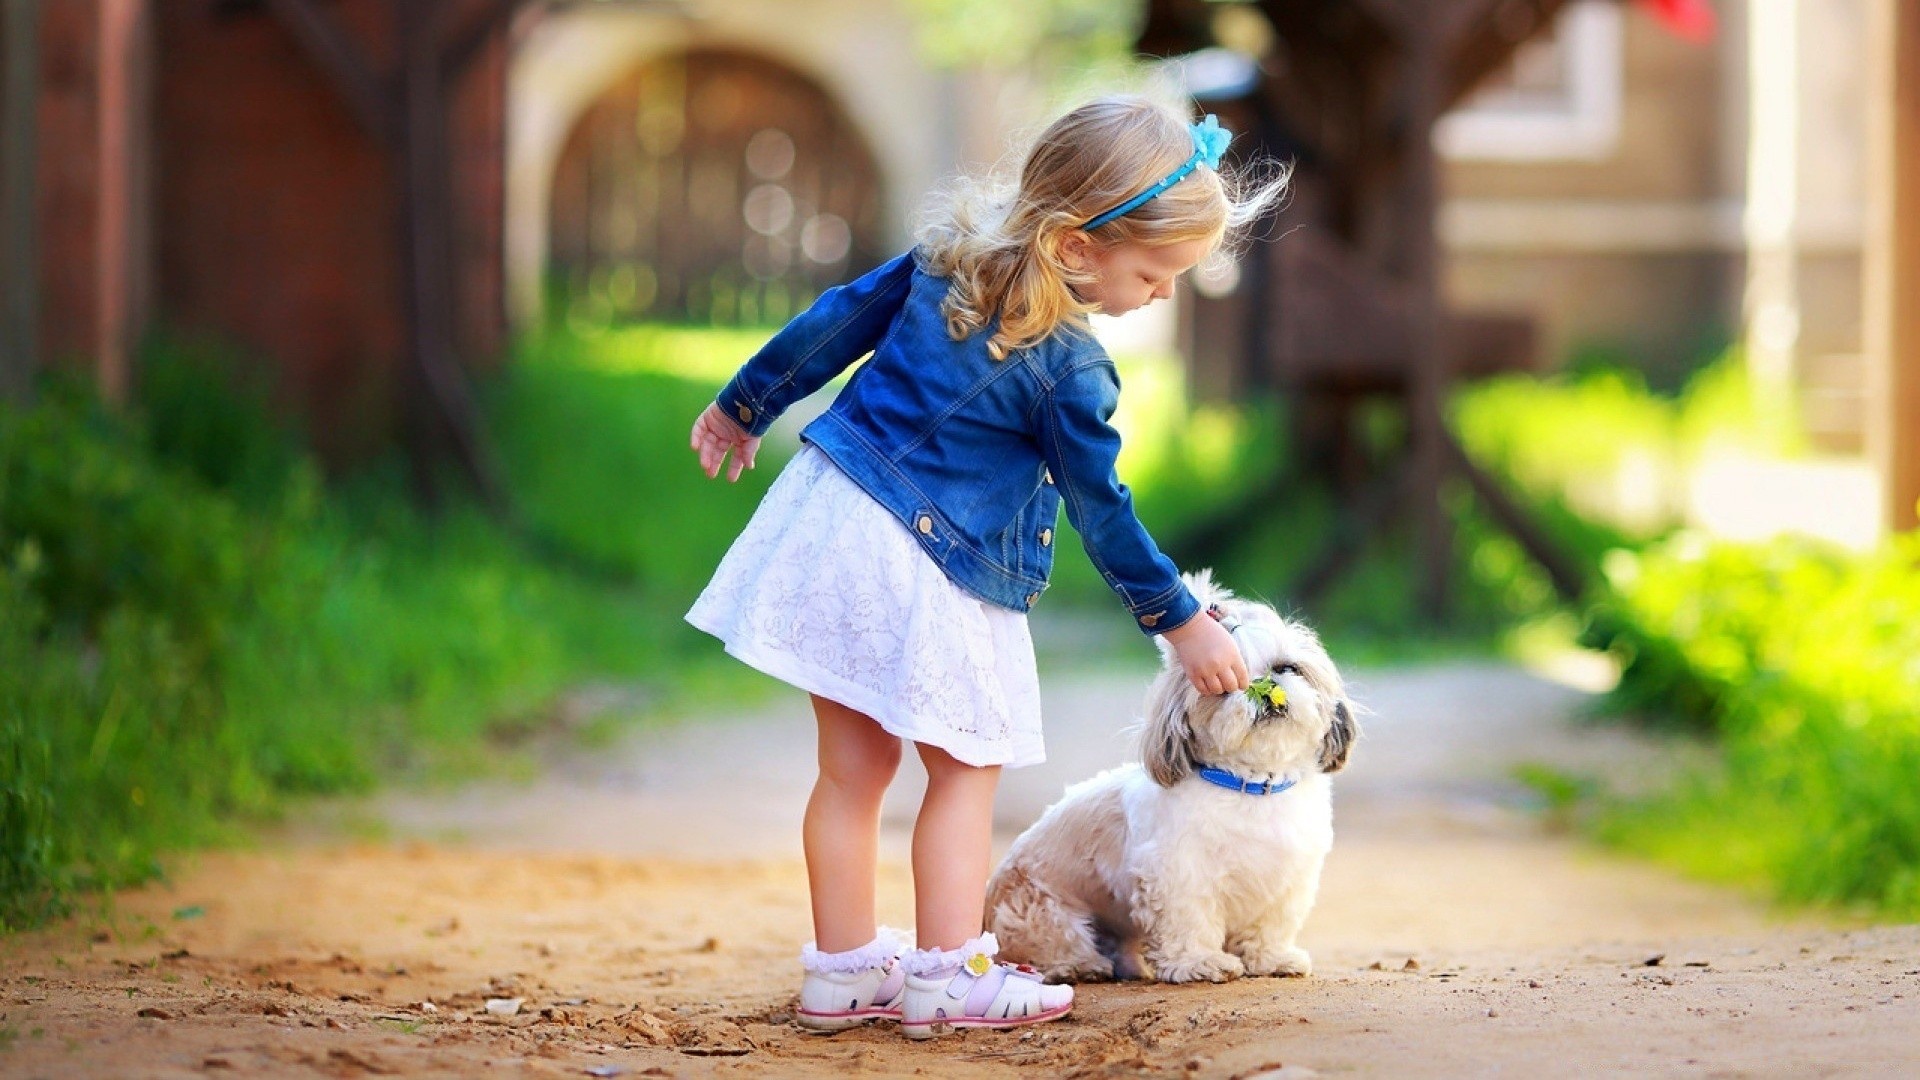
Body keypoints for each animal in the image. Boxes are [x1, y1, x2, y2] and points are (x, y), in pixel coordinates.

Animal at [983, 572, 1359, 983]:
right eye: (1225, 684)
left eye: (1286, 668)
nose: (1264, 688)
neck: (1251, 784)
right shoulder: (1178, 873)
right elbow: (1188, 921)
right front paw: (1200, 962)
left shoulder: (1287, 879)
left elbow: (1269, 926)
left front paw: (1272, 958)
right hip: (1040, 911)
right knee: (1048, 945)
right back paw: (1079, 966)